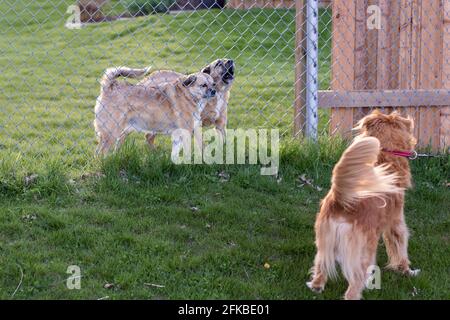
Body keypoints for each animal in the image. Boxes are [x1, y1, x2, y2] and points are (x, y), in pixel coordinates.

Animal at [308, 110, 420, 300]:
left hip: (324, 243)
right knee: (353, 287)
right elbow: (401, 249)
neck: (384, 155)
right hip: (364, 252)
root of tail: (341, 202)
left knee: (320, 269)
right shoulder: (396, 222)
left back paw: (316, 286)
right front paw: (407, 271)